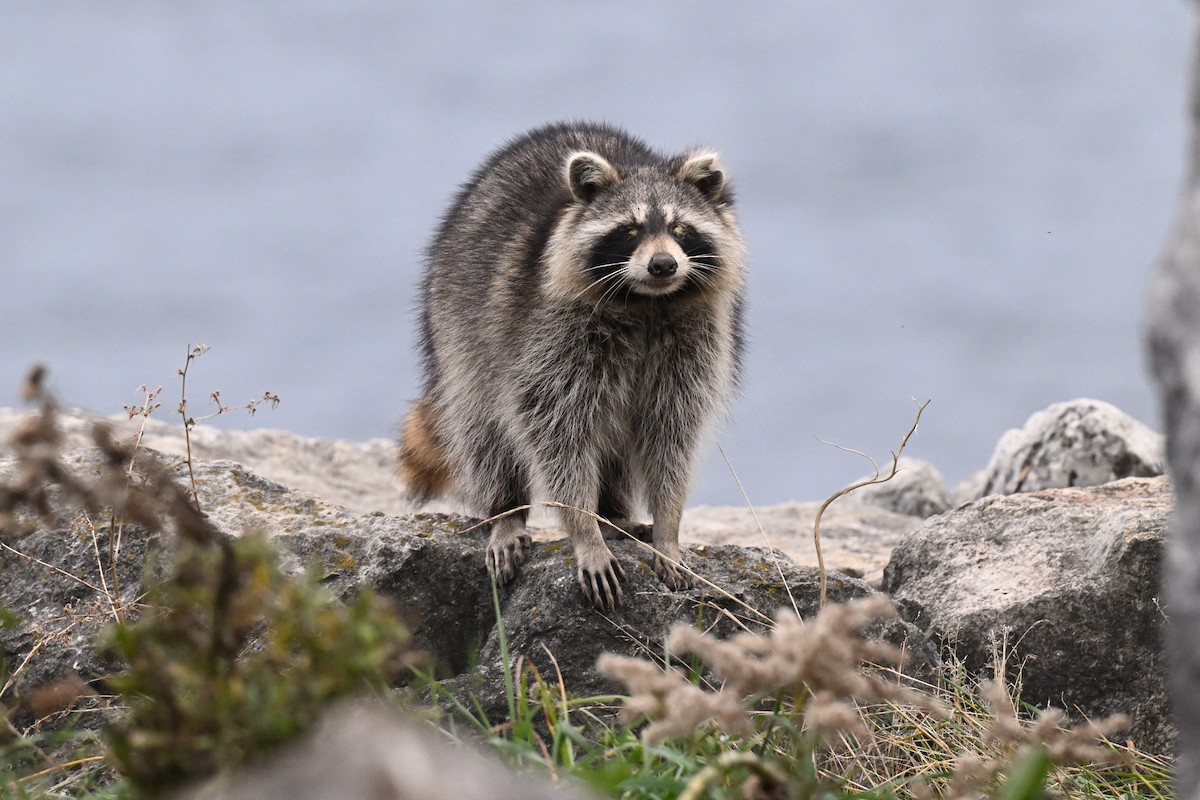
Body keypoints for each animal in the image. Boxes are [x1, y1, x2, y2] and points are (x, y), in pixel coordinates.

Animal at [399, 121, 746, 610]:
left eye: (680, 227)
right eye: (630, 230)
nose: (663, 264)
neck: (645, 302)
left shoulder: (694, 343)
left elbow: (671, 432)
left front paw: (667, 527)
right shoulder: (549, 334)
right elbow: (557, 434)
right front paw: (584, 533)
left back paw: (614, 515)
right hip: (457, 329)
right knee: (482, 427)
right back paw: (506, 512)